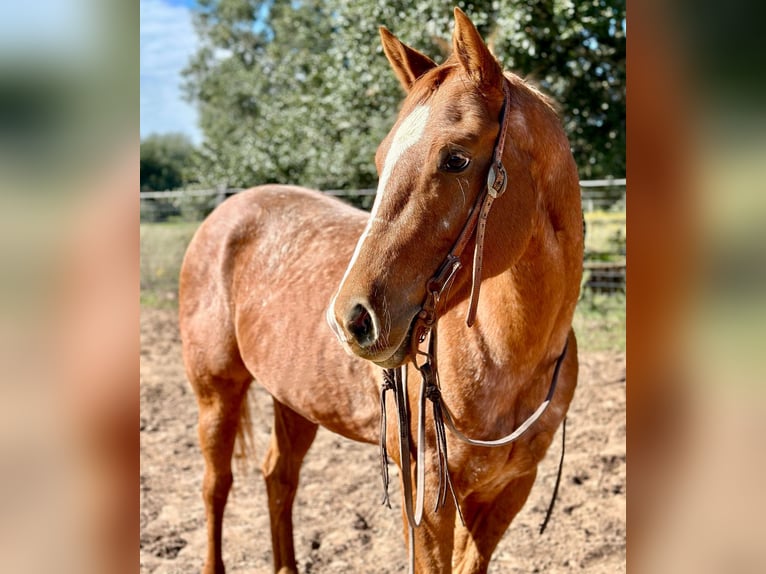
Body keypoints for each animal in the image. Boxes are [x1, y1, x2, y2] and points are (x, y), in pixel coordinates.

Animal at [180, 9, 584, 574]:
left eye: (456, 159)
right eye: (379, 160)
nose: (351, 318)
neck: (508, 357)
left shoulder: (508, 493)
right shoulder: (430, 501)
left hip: (294, 400)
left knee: (278, 477)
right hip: (216, 393)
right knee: (217, 486)